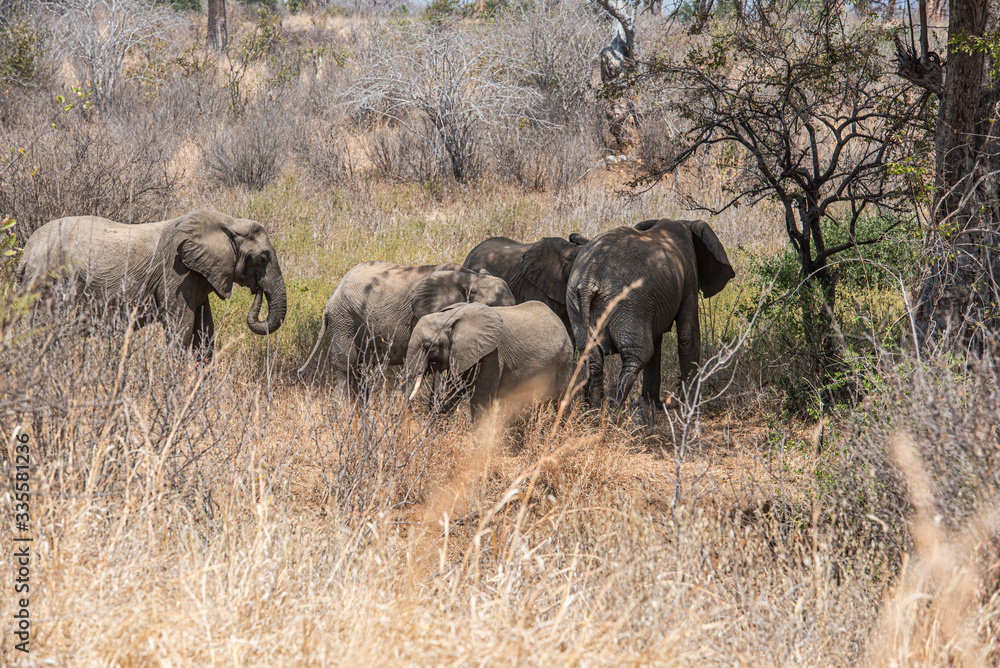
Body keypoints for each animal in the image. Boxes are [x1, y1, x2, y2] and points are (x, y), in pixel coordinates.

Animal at [17, 209, 286, 355]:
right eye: (263, 258)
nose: (257, 291)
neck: (228, 223)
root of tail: (26, 253)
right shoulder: (177, 275)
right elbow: (181, 328)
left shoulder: (198, 276)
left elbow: (204, 332)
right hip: (45, 282)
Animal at [404, 301, 573, 422]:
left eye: (427, 346)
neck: (450, 317)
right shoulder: (461, 354)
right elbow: (452, 395)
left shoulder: (493, 355)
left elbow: (480, 400)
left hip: (565, 358)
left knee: (561, 400)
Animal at [566, 218, 735, 414]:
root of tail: (589, 278)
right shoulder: (688, 279)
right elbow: (688, 336)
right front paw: (690, 408)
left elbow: (659, 340)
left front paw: (654, 405)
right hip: (628, 302)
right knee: (639, 353)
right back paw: (614, 411)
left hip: (576, 301)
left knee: (594, 356)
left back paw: (594, 411)